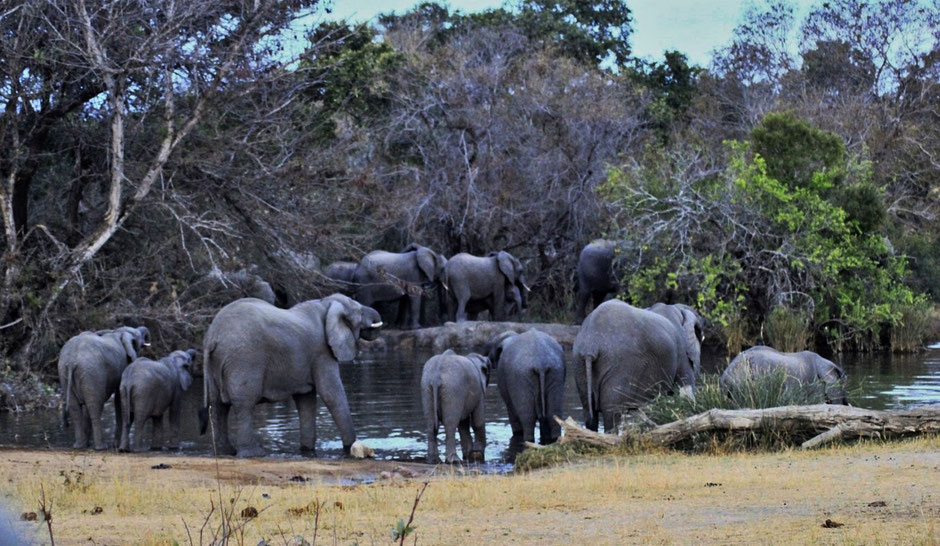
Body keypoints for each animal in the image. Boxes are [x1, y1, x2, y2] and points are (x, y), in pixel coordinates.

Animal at [201, 294, 382, 454]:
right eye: (359, 312)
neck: (325, 303)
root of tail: (212, 337)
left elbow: (306, 399)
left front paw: (307, 450)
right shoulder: (322, 351)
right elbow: (330, 393)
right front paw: (350, 447)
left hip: (217, 363)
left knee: (218, 405)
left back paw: (226, 452)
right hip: (244, 359)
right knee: (244, 403)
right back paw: (253, 453)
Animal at [568, 300, 700, 432]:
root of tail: (590, 346)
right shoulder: (682, 354)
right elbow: (685, 391)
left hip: (579, 364)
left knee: (589, 413)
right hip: (622, 364)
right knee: (612, 414)